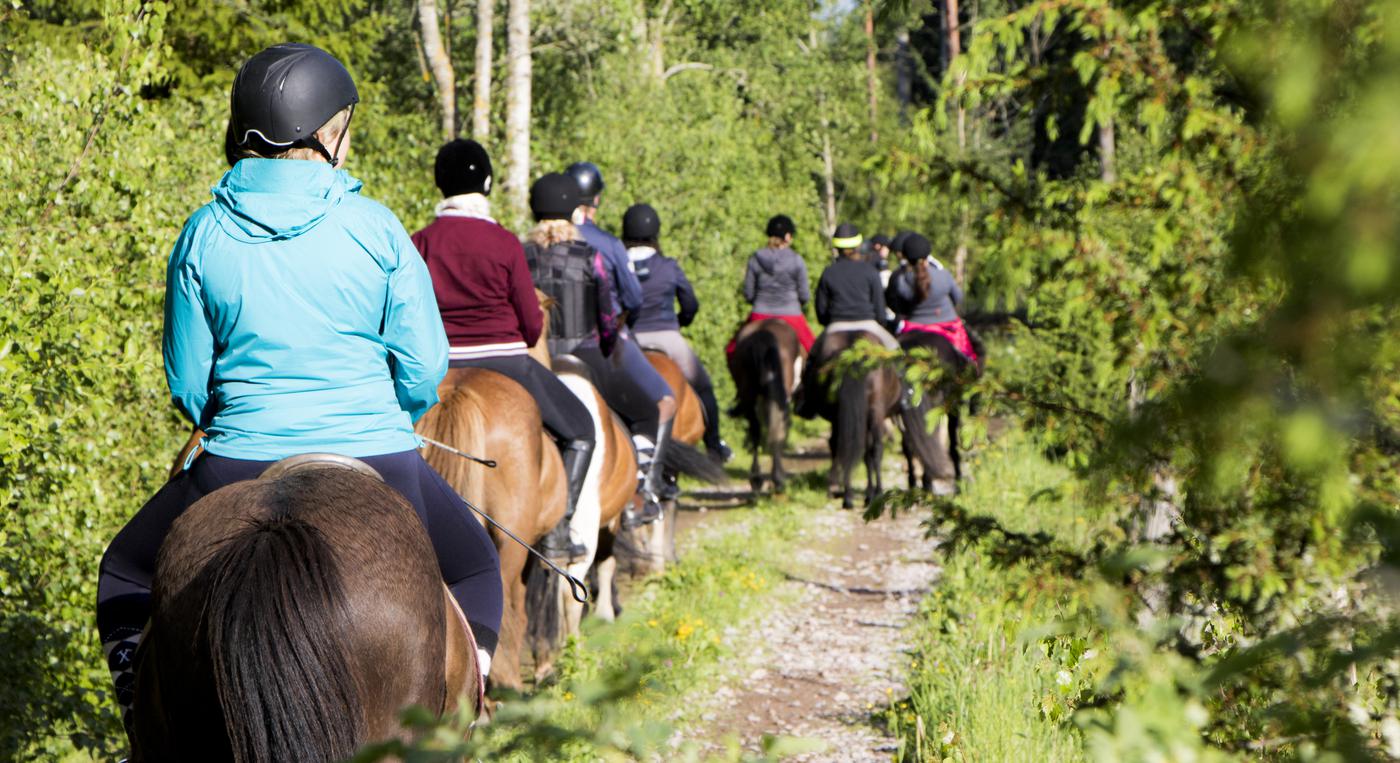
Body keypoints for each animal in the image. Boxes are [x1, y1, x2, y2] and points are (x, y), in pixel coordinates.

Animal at [728, 316, 806, 490]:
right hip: (779, 395)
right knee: (776, 429)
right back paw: (778, 478)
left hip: (748, 395)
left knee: (755, 429)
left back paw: (756, 477)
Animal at [806, 330, 901, 509]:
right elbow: (871, 452)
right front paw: (872, 493)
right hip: (875, 413)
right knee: (876, 449)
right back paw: (875, 493)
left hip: (838, 414)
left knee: (842, 446)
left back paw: (847, 495)